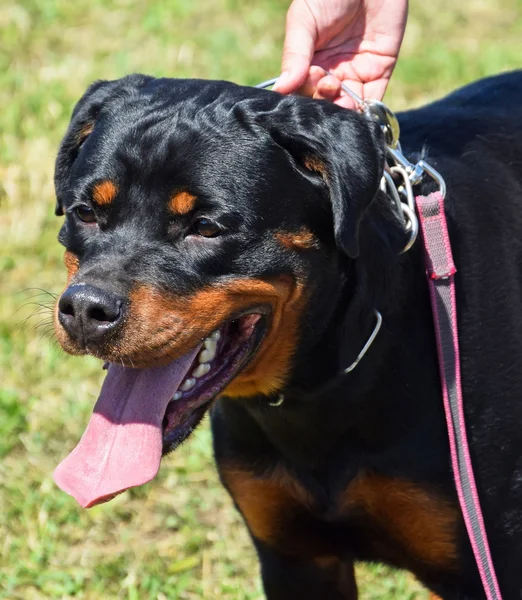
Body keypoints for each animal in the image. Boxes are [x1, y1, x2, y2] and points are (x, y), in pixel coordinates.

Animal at [51, 71, 520, 600]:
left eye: (205, 227)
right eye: (85, 213)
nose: (85, 309)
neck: (319, 389)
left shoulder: (489, 562)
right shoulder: (294, 558)